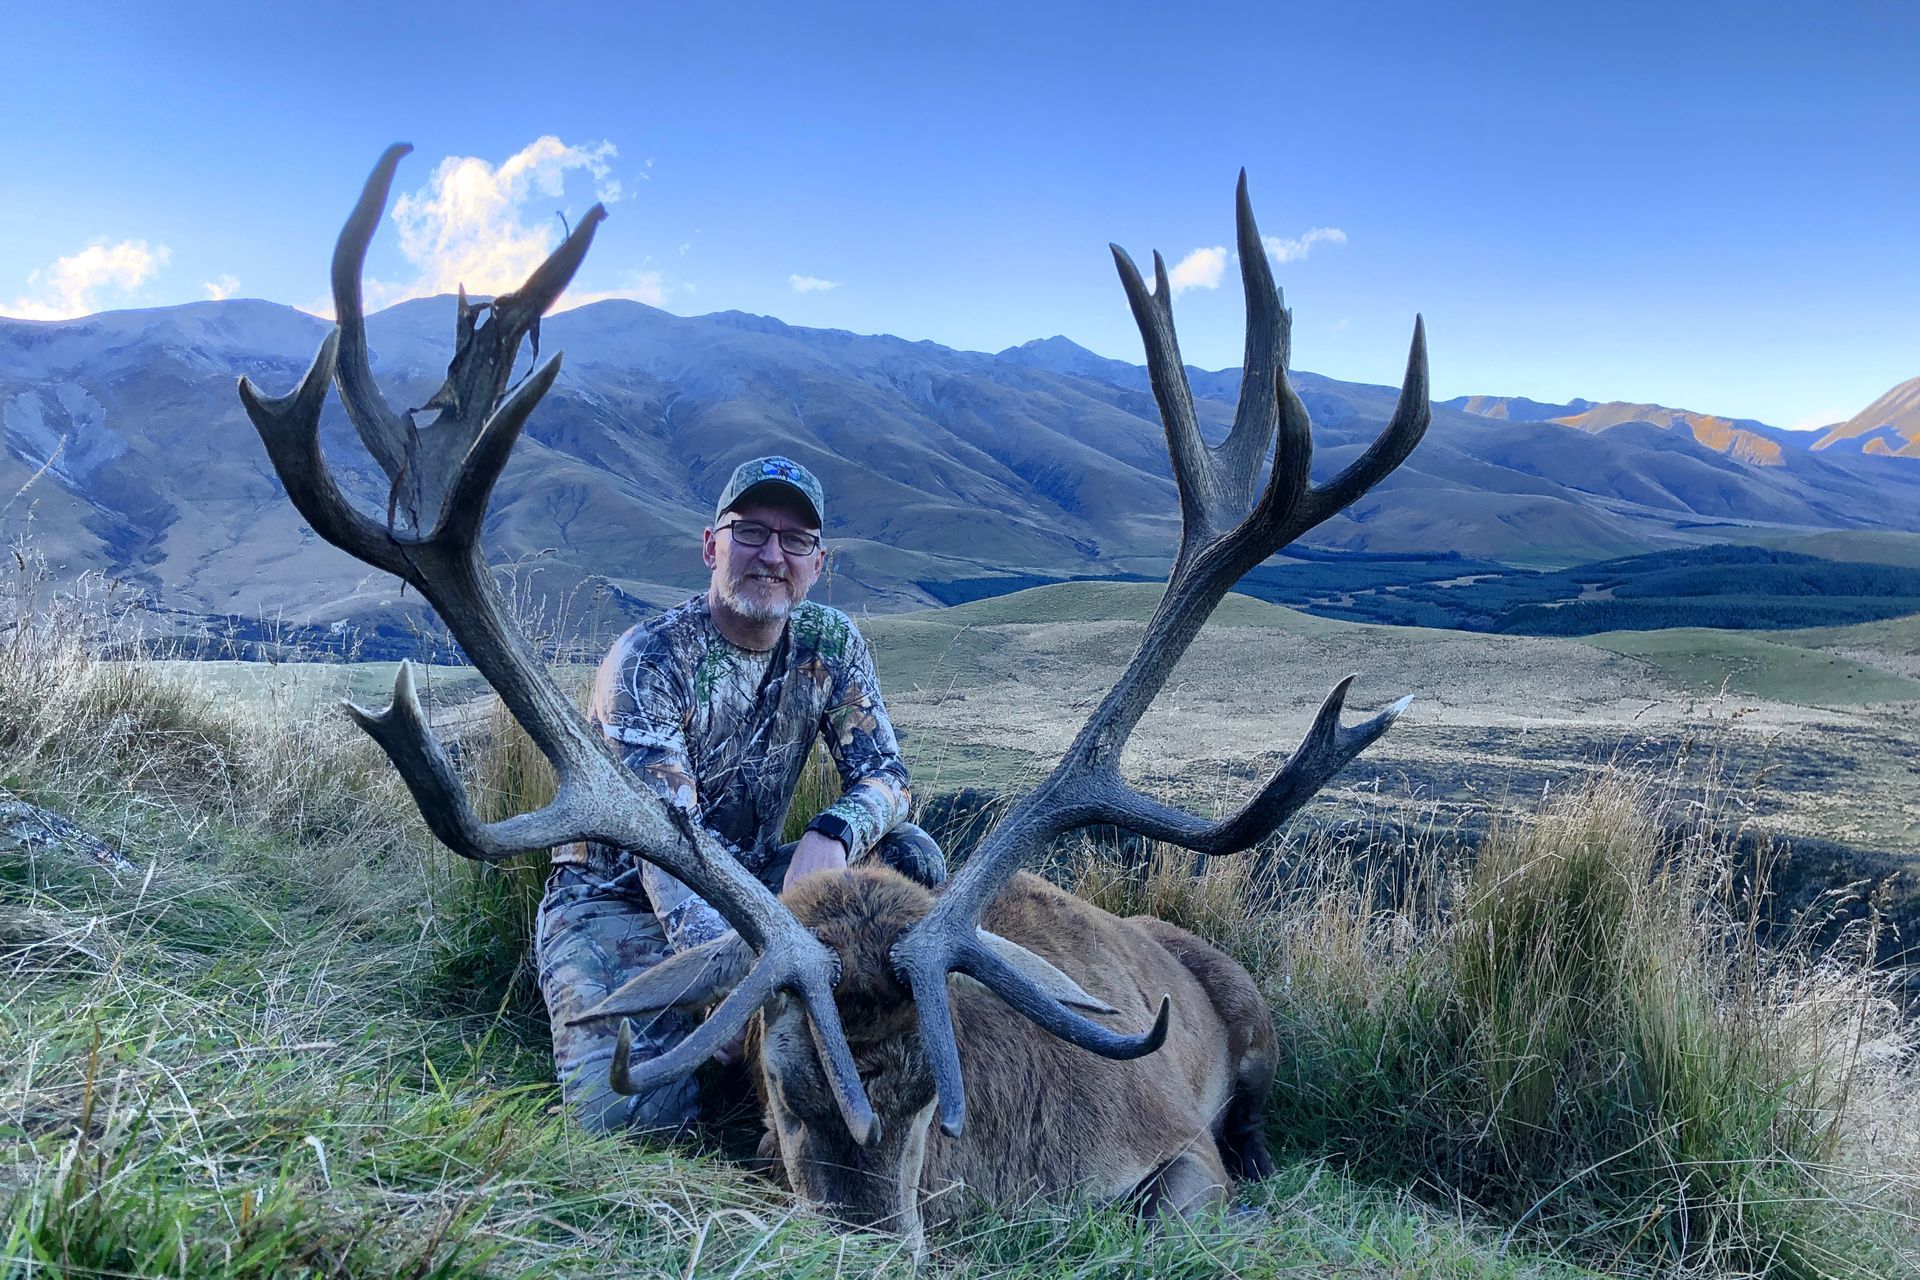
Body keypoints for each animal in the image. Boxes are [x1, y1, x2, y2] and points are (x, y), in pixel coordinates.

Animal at [238, 145, 1430, 1250]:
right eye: (779, 1078)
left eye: (934, 1093)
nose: (868, 1233)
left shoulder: (1174, 1146)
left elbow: (1175, 1198)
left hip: (1252, 1007)